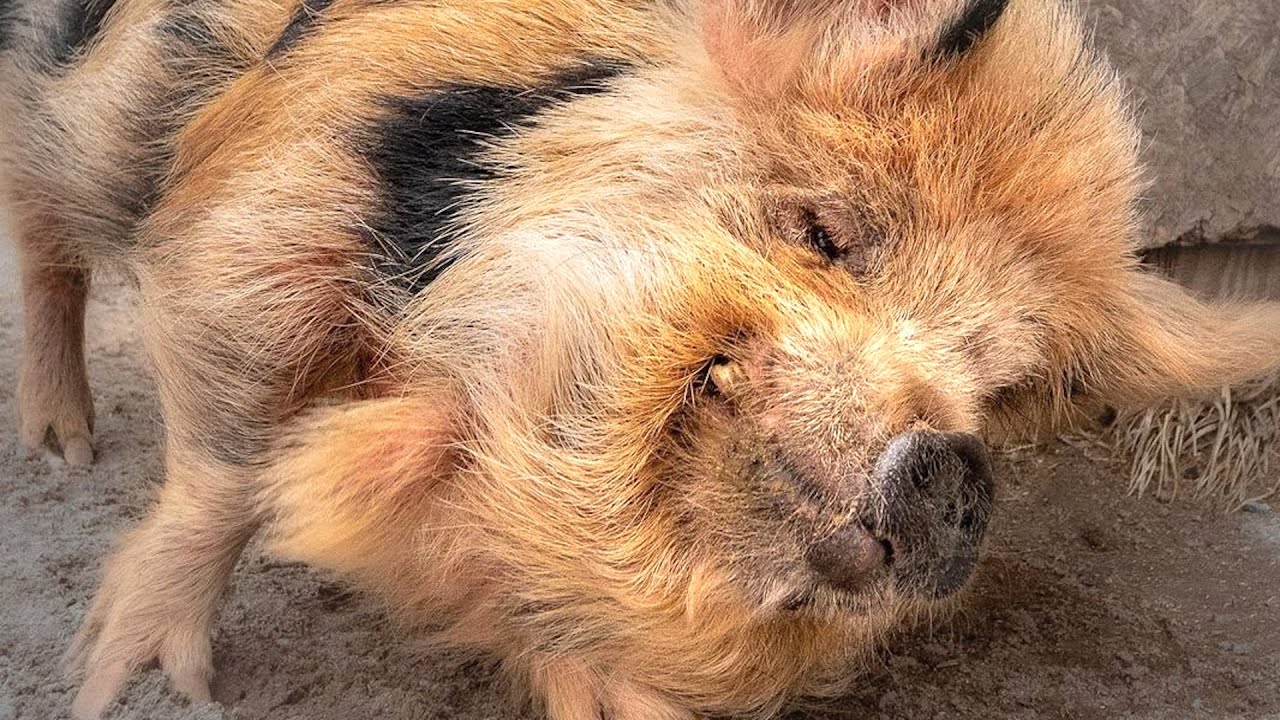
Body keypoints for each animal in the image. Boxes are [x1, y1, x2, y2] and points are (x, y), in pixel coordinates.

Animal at [2, 0, 1278, 718]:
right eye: (823, 232)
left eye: (1001, 389)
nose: (946, 472)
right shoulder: (268, 214)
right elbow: (228, 458)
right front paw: (132, 686)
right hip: (89, 115)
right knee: (45, 232)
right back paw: (63, 450)